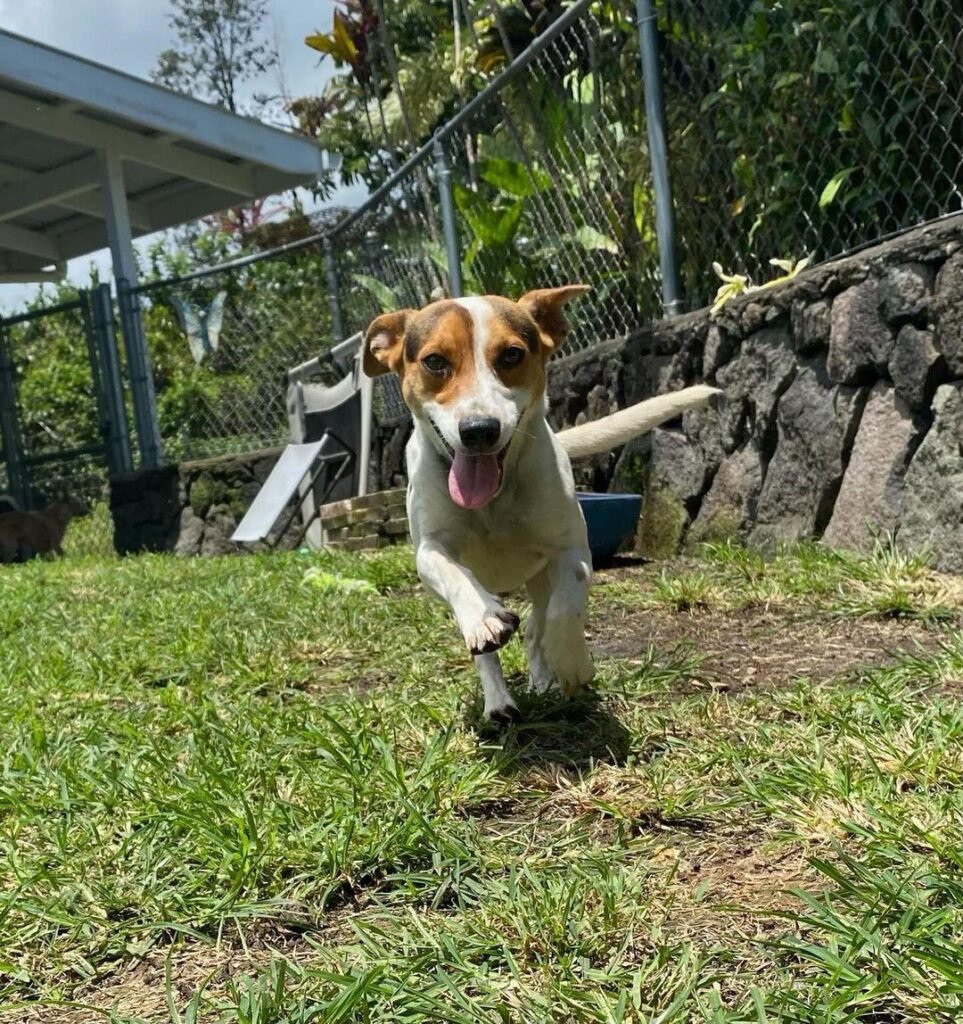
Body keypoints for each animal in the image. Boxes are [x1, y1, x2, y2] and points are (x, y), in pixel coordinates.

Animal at [364, 284, 717, 724]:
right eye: (434, 361)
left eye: (512, 355)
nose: (479, 430)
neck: (494, 498)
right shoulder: (429, 550)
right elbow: (457, 578)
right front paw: (484, 617)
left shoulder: (571, 552)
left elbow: (563, 614)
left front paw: (573, 666)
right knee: (488, 651)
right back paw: (499, 702)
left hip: (540, 577)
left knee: (537, 625)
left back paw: (544, 677)